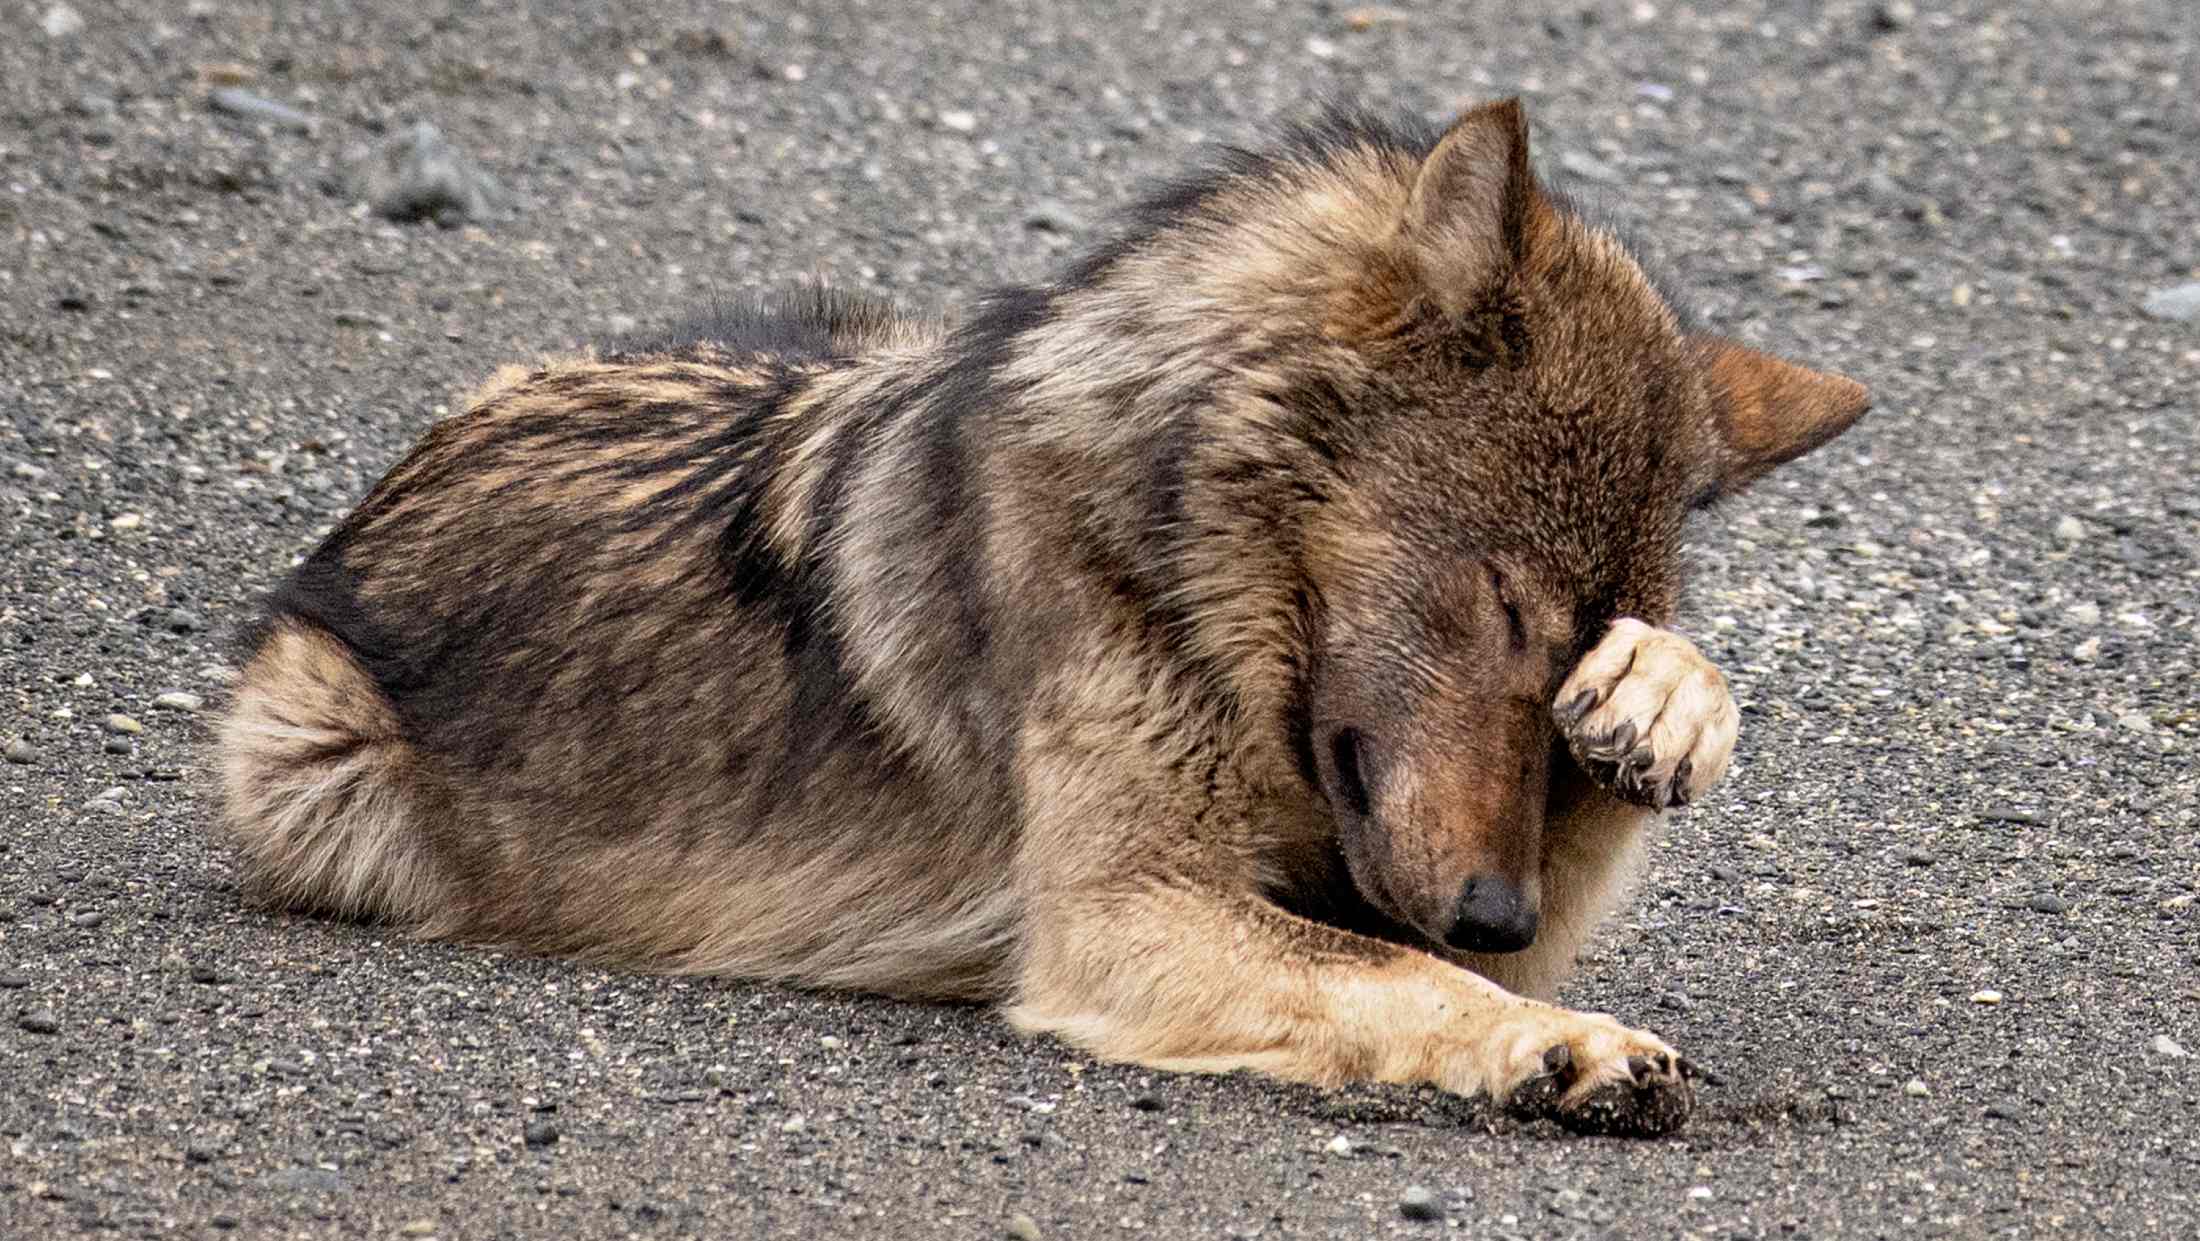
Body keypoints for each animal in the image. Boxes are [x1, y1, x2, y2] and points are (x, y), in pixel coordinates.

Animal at [217, 98, 1868, 1136]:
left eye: (1576, 639)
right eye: (1499, 603)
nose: (1496, 914)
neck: (1183, 567)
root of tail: (419, 453)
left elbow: (1469, 920)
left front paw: (1669, 705)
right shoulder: (1125, 914)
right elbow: (1400, 975)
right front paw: (1565, 1046)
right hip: (315, 769)